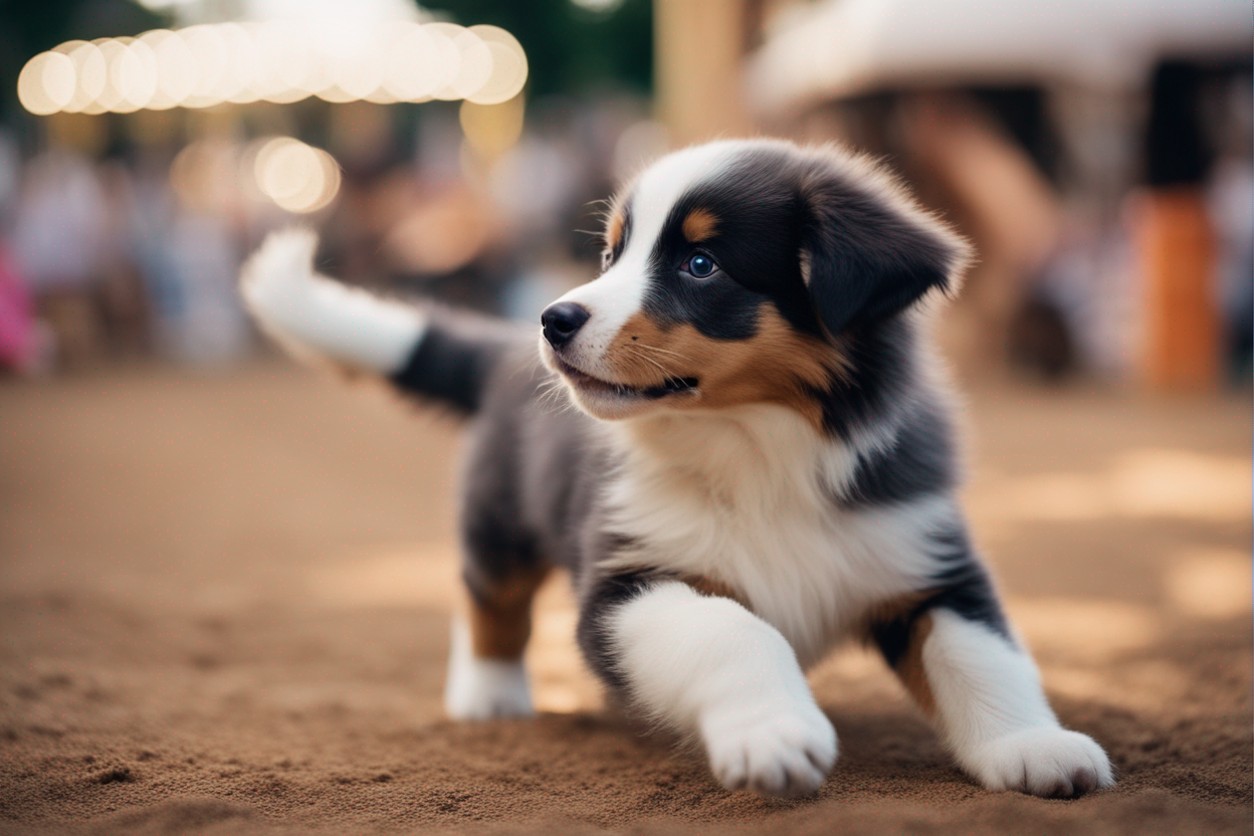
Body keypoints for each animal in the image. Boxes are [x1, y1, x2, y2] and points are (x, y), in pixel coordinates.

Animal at [242, 140, 1118, 802]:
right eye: (611, 253)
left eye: (700, 264)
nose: (554, 319)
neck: (758, 445)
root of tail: (500, 353)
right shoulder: (628, 579)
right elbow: (731, 630)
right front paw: (773, 733)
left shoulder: (924, 555)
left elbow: (985, 652)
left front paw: (1035, 746)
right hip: (500, 512)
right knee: (490, 594)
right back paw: (488, 695)